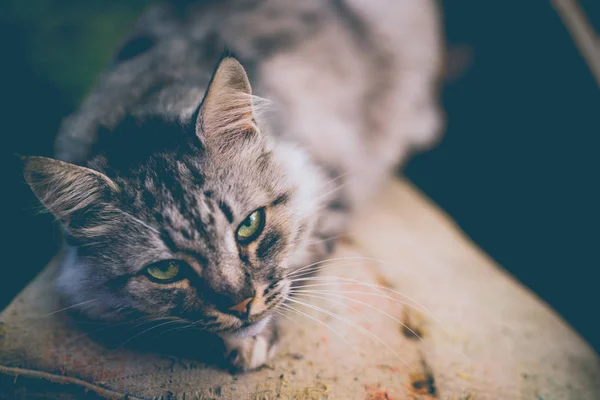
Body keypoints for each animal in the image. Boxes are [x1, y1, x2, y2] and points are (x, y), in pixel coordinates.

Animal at [21, 0, 442, 370]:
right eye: (165, 271)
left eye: (249, 226)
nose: (240, 304)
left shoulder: (329, 183)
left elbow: (298, 264)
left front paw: (252, 342)